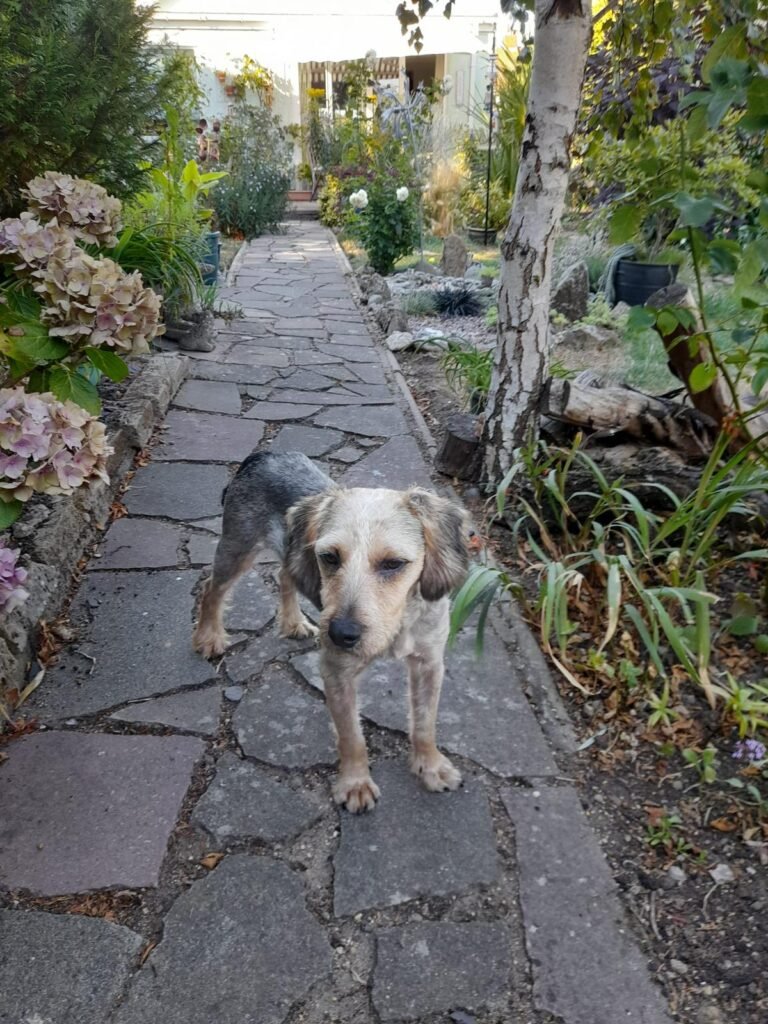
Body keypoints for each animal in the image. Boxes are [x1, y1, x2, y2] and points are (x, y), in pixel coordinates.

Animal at [193, 452, 468, 811]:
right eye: (329, 557)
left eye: (393, 563)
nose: (340, 634)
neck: (398, 624)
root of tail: (261, 455)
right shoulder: (337, 671)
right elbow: (351, 735)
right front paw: (355, 783)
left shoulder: (429, 664)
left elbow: (425, 722)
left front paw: (431, 765)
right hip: (236, 549)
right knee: (211, 589)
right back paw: (209, 636)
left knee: (285, 575)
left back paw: (293, 622)